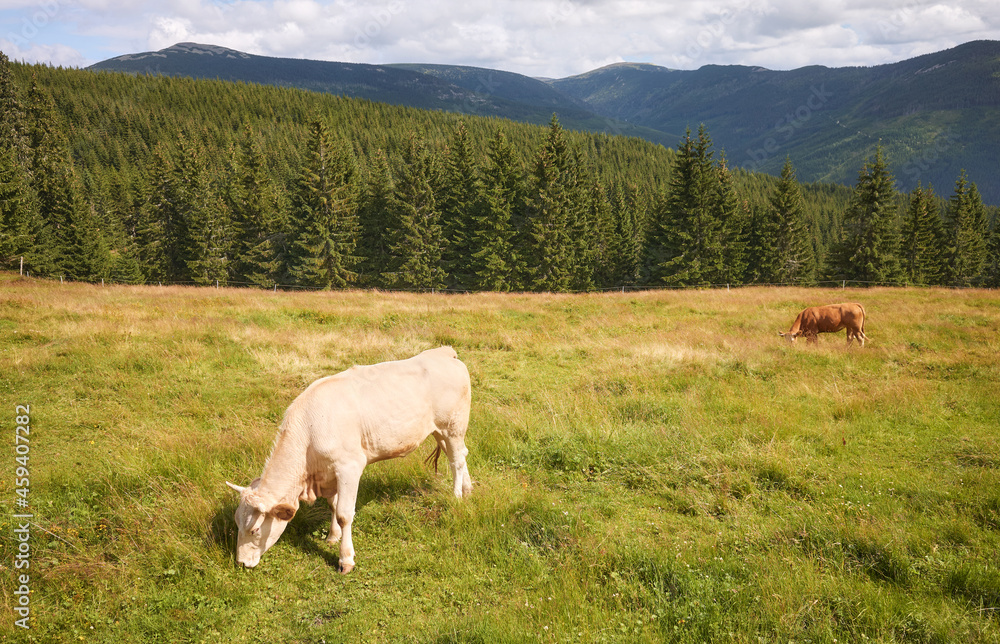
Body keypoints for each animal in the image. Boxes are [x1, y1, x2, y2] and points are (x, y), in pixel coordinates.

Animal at [226, 348, 472, 572]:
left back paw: (457, 496)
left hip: (453, 425)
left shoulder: (349, 467)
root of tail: (443, 352)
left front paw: (346, 559)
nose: (240, 562)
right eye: (237, 521)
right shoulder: (328, 472)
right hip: (440, 431)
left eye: (255, 530)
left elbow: (344, 513)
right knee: (460, 454)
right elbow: (333, 505)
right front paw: (332, 536)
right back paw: (468, 489)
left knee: (457, 460)